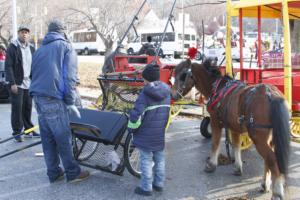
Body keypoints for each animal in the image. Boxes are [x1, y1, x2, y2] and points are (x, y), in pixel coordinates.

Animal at [172, 58, 290, 199]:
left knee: (272, 159)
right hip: (269, 137)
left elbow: (215, 143)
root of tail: (271, 94)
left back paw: (277, 192)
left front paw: (211, 165)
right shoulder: (234, 127)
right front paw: (238, 168)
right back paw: (264, 184)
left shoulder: (215, 122)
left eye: (183, 75)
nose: (172, 95)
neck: (217, 88)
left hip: (258, 137)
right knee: (268, 160)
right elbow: (236, 146)